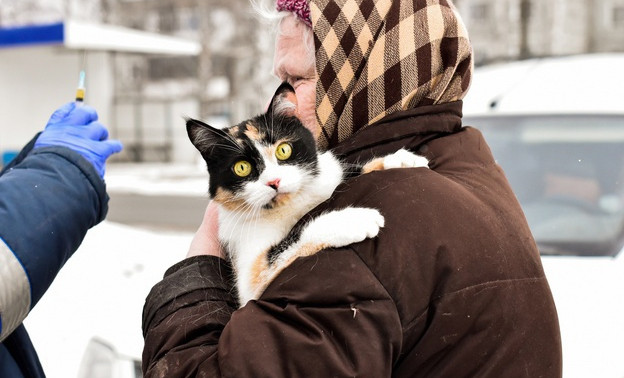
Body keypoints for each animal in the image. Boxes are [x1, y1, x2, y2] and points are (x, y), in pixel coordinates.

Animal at [186, 83, 428, 308]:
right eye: (242, 168)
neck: (292, 203)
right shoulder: (249, 274)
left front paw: (400, 160)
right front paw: (353, 220)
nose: (274, 182)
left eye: (283, 150)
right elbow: (289, 242)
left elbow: (350, 171)